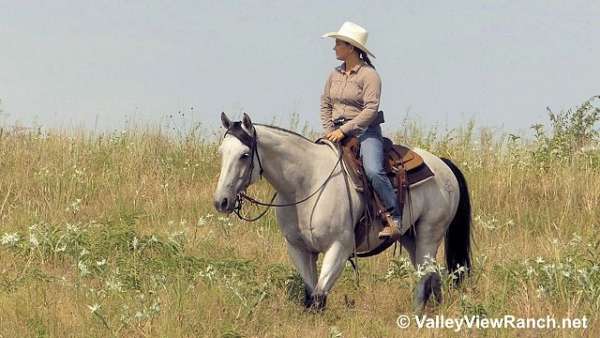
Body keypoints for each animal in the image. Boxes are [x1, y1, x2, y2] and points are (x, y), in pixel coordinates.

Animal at [213, 113, 472, 312]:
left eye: (245, 155)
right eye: (221, 152)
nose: (221, 201)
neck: (307, 183)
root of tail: (443, 164)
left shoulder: (338, 248)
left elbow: (319, 298)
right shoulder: (299, 250)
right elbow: (310, 296)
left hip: (430, 232)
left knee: (425, 274)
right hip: (410, 237)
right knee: (431, 274)